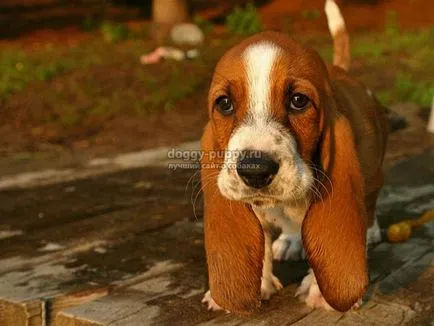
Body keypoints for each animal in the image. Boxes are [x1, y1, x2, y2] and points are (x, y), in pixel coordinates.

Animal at [200, 0, 386, 316]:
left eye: (298, 101)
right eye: (224, 104)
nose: (254, 171)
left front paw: (321, 291)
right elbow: (261, 243)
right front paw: (257, 285)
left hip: (374, 174)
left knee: (371, 200)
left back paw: (371, 230)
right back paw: (289, 240)